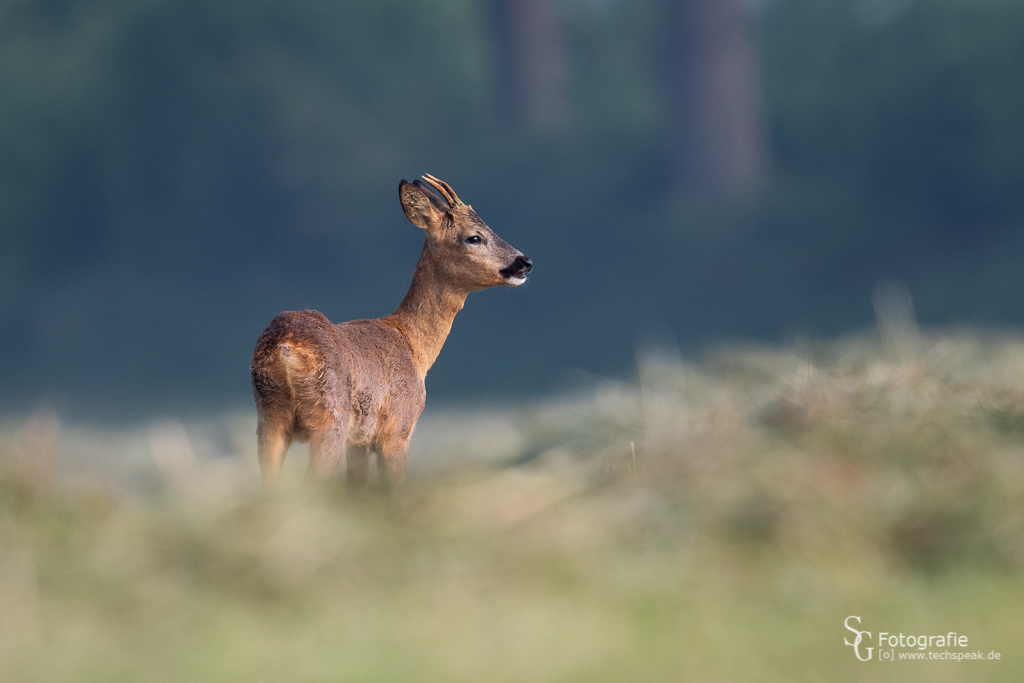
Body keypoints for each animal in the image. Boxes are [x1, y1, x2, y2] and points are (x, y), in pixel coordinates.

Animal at [250, 174, 532, 489]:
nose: (524, 262)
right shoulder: (397, 428)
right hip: (329, 416)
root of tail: (285, 347)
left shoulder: (359, 441)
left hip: (269, 420)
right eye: (474, 237)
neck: (413, 346)